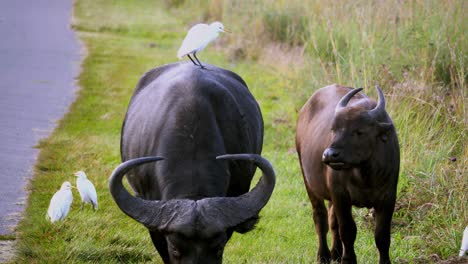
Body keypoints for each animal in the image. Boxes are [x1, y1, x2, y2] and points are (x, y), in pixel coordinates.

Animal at [296, 85, 398, 264]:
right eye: (334, 129)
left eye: (359, 131)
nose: (329, 155)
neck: (365, 175)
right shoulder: (341, 195)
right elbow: (348, 230)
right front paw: (348, 259)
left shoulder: (388, 197)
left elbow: (382, 235)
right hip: (308, 181)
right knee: (320, 218)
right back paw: (323, 255)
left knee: (332, 221)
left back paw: (335, 253)